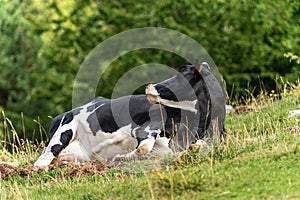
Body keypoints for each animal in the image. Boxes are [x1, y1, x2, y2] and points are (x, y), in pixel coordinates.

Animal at [33, 62, 225, 167]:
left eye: (180, 75)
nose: (149, 86)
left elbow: (200, 145)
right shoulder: (144, 128)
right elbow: (143, 147)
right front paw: (119, 158)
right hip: (64, 130)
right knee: (43, 159)